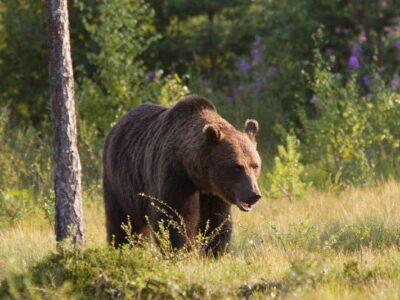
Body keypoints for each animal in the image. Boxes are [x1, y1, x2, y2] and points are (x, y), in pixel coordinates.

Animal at [101, 95, 260, 254]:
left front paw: (215, 251)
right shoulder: (175, 176)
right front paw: (180, 250)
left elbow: (216, 220)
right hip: (120, 182)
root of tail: (116, 126)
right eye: (237, 167)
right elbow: (175, 218)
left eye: (255, 165)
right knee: (122, 220)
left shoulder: (214, 192)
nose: (254, 194)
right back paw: (122, 246)